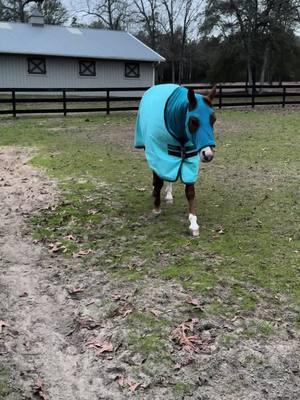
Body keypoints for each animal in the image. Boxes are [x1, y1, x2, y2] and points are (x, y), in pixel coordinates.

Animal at [135, 83, 217, 236]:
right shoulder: (158, 153)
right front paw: (156, 208)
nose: (207, 154)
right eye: (194, 121)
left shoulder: (190, 158)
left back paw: (168, 195)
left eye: (213, 120)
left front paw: (193, 223)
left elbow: (190, 192)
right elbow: (158, 181)